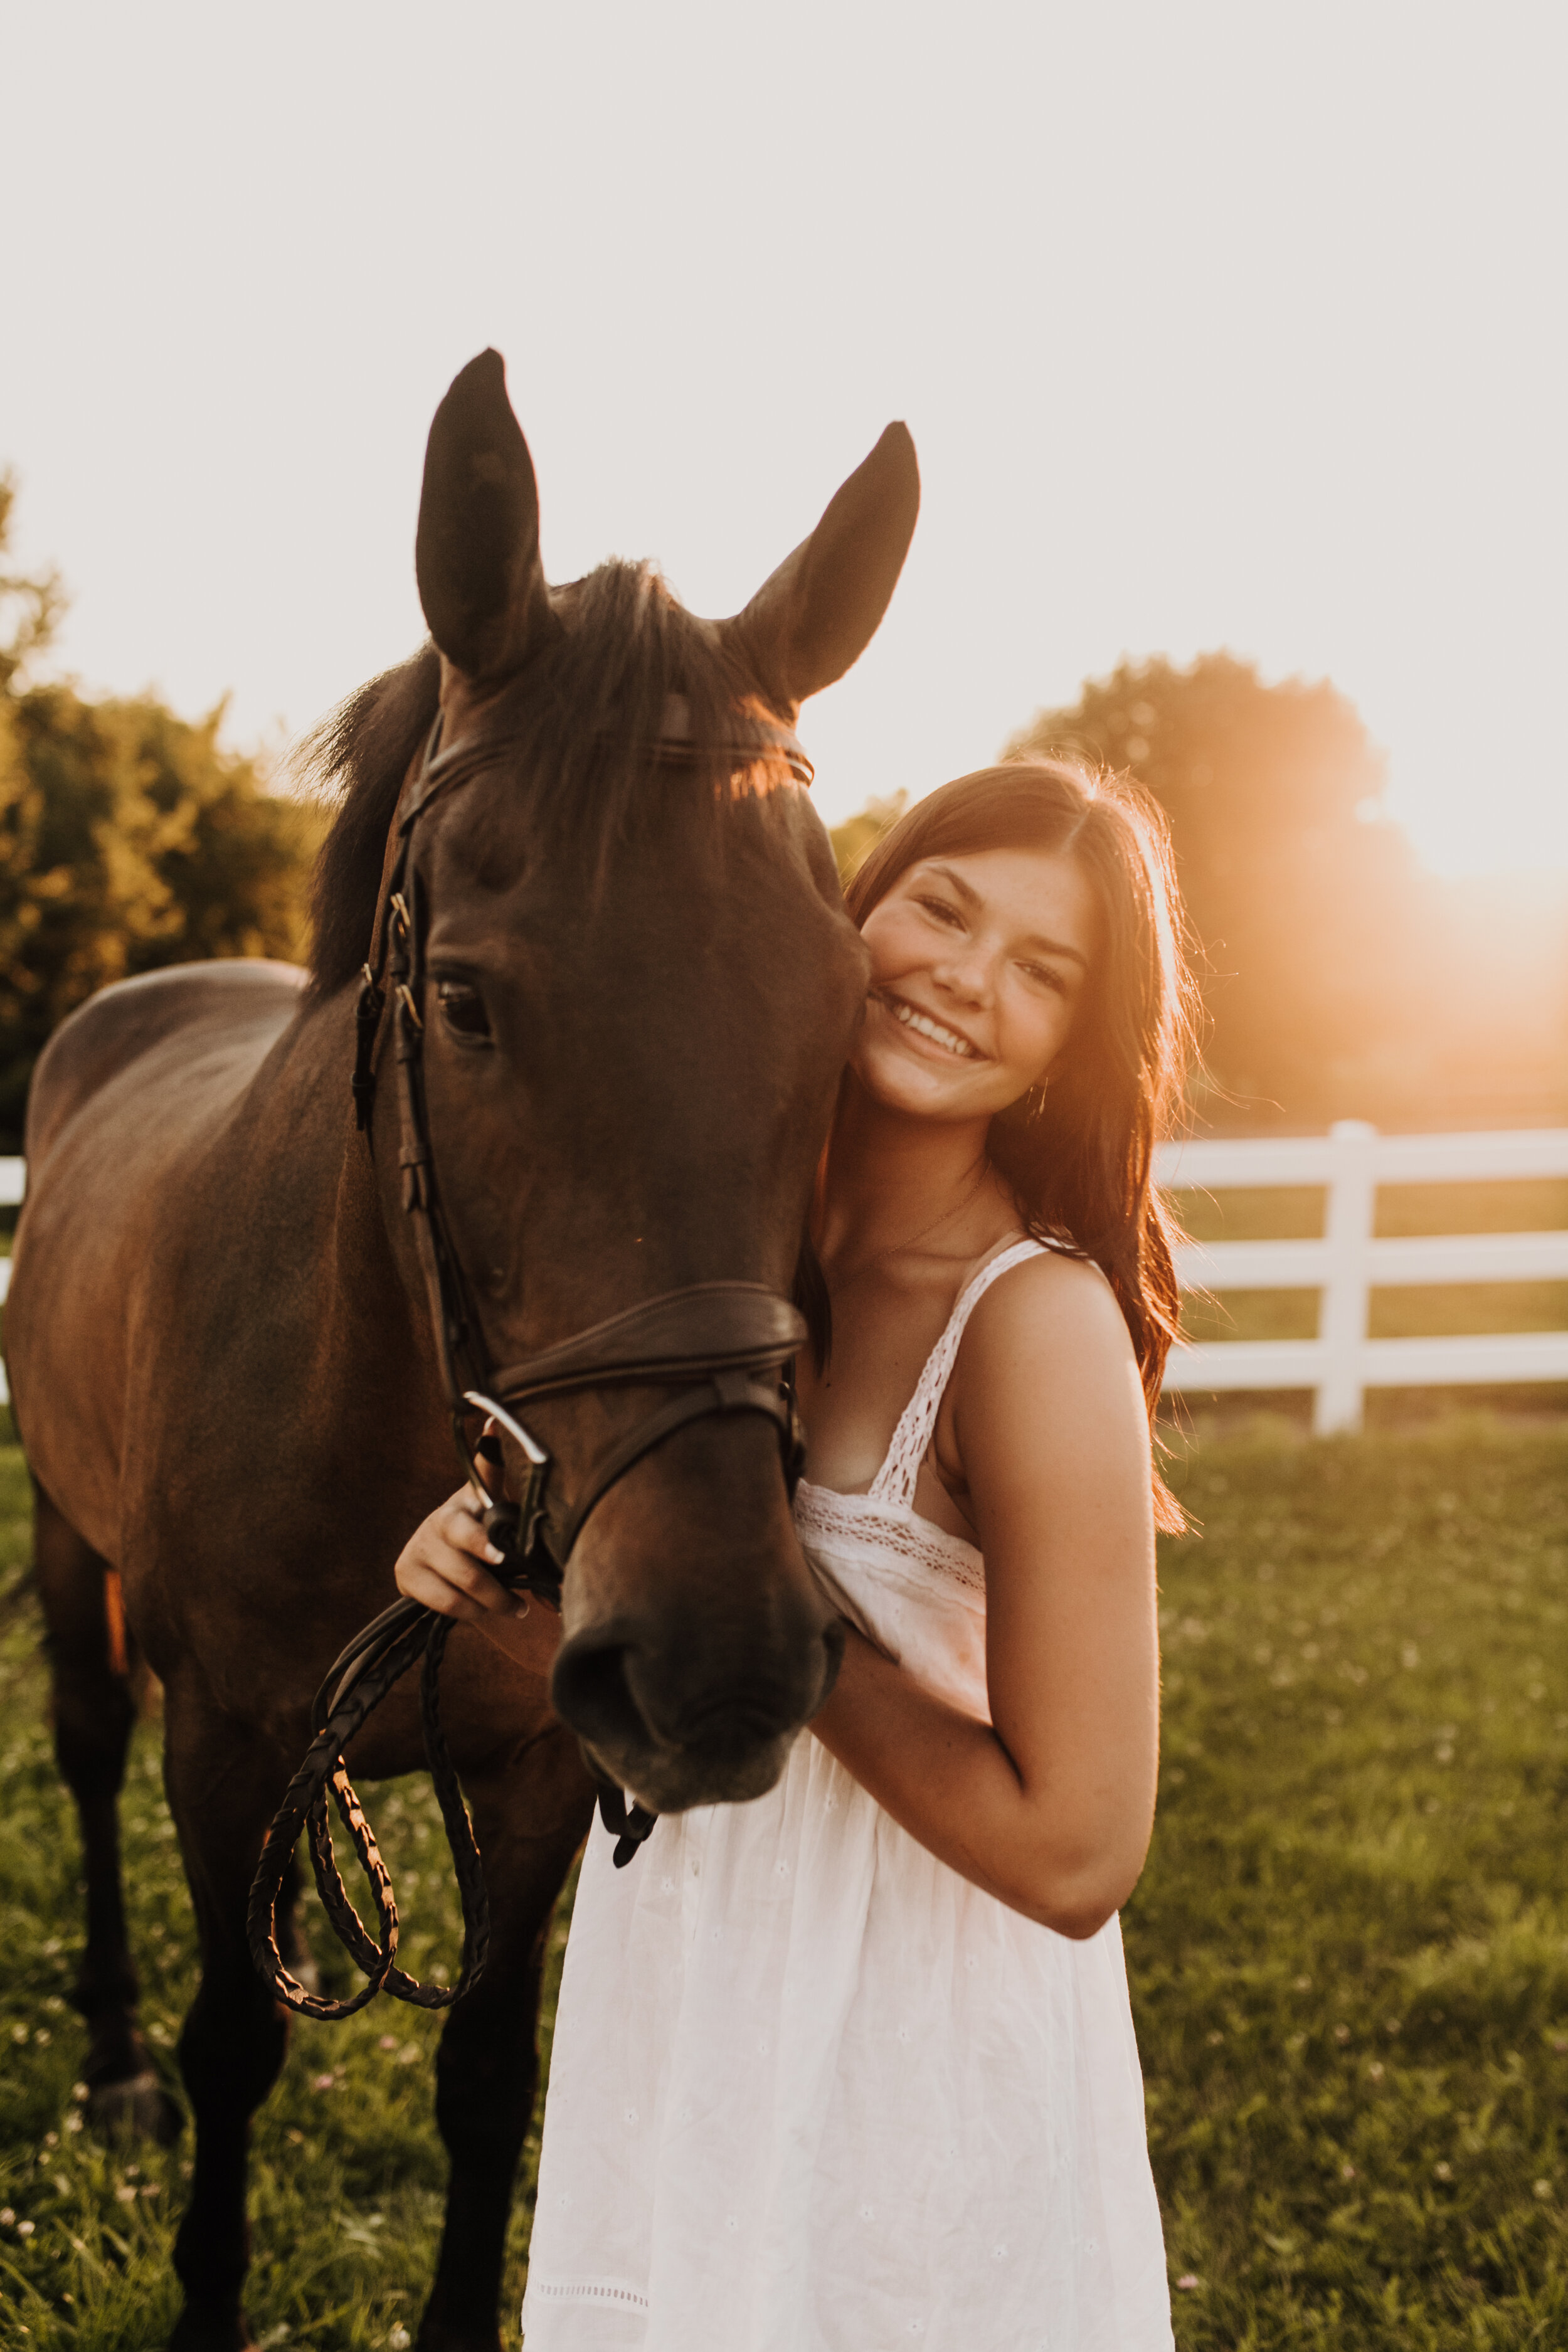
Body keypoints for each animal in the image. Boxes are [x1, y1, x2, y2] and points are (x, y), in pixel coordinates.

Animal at [6, 352, 921, 2352]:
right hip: (64, 1533)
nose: (721, 1654)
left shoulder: (547, 1769)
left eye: (846, 1006)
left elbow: (490, 2081)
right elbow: (240, 2045)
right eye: (461, 997)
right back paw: (105, 2049)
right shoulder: (232, 1751)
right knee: (84, 1747)